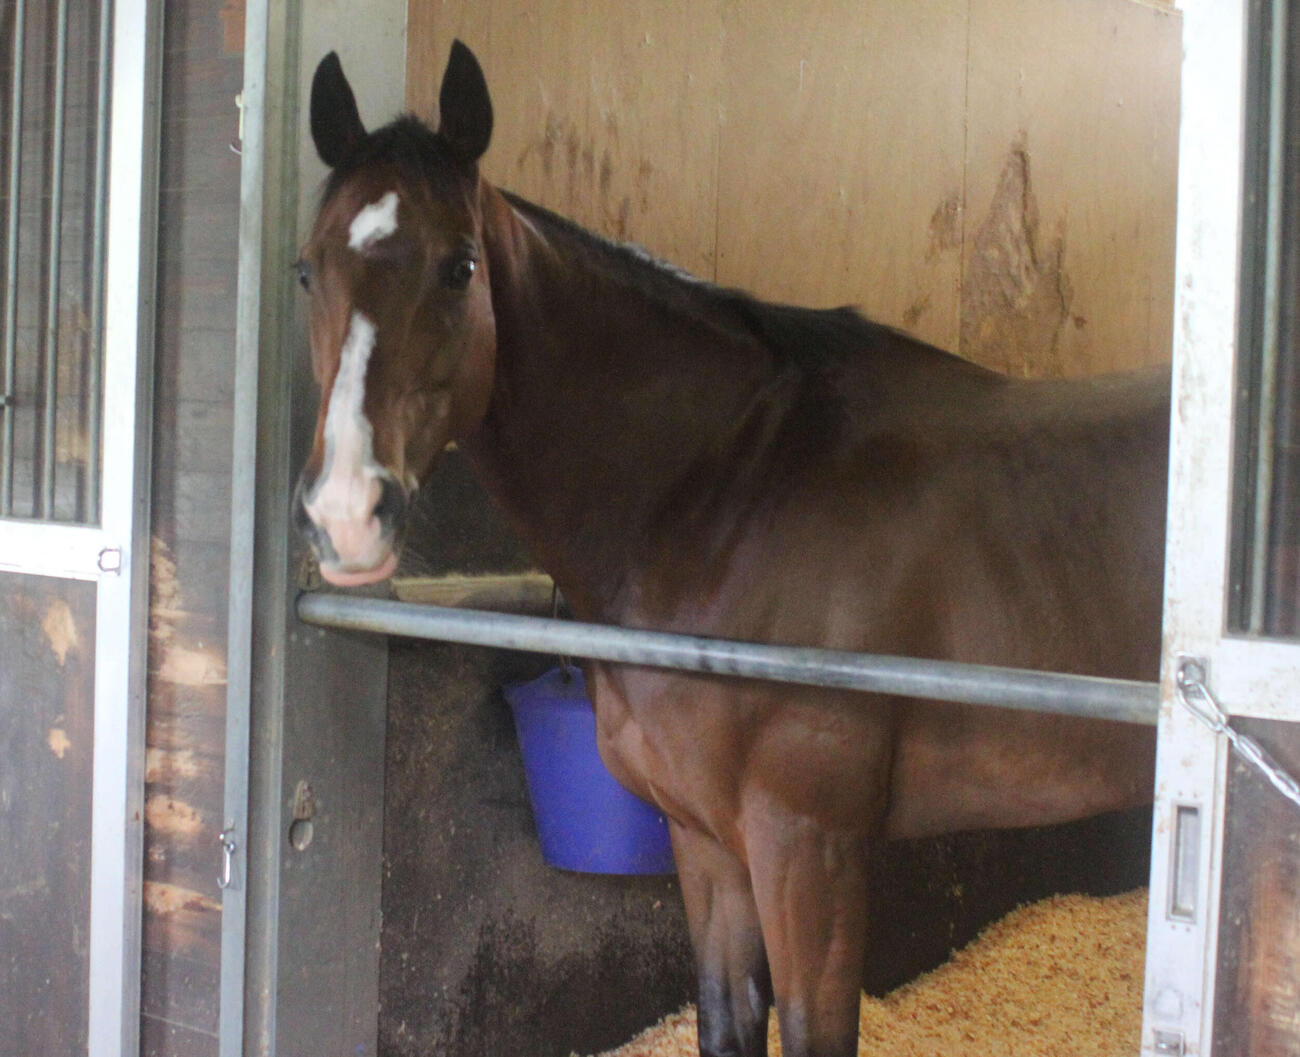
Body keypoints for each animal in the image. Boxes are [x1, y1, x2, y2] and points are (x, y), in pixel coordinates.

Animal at [293, 42, 1167, 1057]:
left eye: (459, 266)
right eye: (307, 271)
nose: (348, 512)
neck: (722, 493)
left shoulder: (808, 846)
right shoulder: (705, 841)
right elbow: (727, 1019)